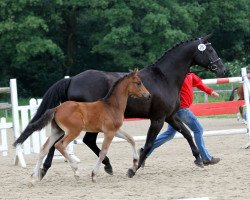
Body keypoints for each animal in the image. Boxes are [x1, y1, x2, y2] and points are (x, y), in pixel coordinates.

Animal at [14, 69, 150, 184]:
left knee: (44, 149)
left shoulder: (115, 130)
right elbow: (103, 152)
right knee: (60, 145)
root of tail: (56, 108)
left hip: (57, 131)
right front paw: (94, 175)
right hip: (73, 131)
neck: (111, 106)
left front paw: (134, 164)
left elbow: (131, 139)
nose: (148, 95)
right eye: (138, 83)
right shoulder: (109, 132)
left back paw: (33, 177)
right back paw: (76, 170)